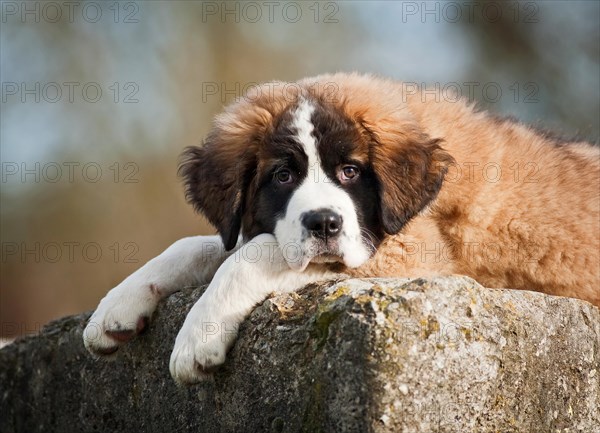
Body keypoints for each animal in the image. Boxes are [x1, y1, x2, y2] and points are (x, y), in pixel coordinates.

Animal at [84, 72, 600, 384]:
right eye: (282, 176)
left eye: (351, 171)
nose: (324, 223)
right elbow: (201, 245)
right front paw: (118, 304)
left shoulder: (412, 253)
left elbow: (255, 253)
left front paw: (198, 335)